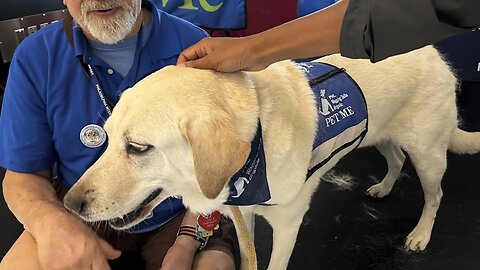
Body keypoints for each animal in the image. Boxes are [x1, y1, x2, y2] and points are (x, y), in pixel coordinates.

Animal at [63, 45, 480, 268]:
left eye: (138, 147)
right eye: (107, 138)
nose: (70, 204)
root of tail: (434, 51)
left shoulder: (288, 225)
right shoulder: (244, 215)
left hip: (428, 154)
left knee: (435, 195)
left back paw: (420, 234)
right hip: (379, 133)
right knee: (395, 160)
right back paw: (384, 187)